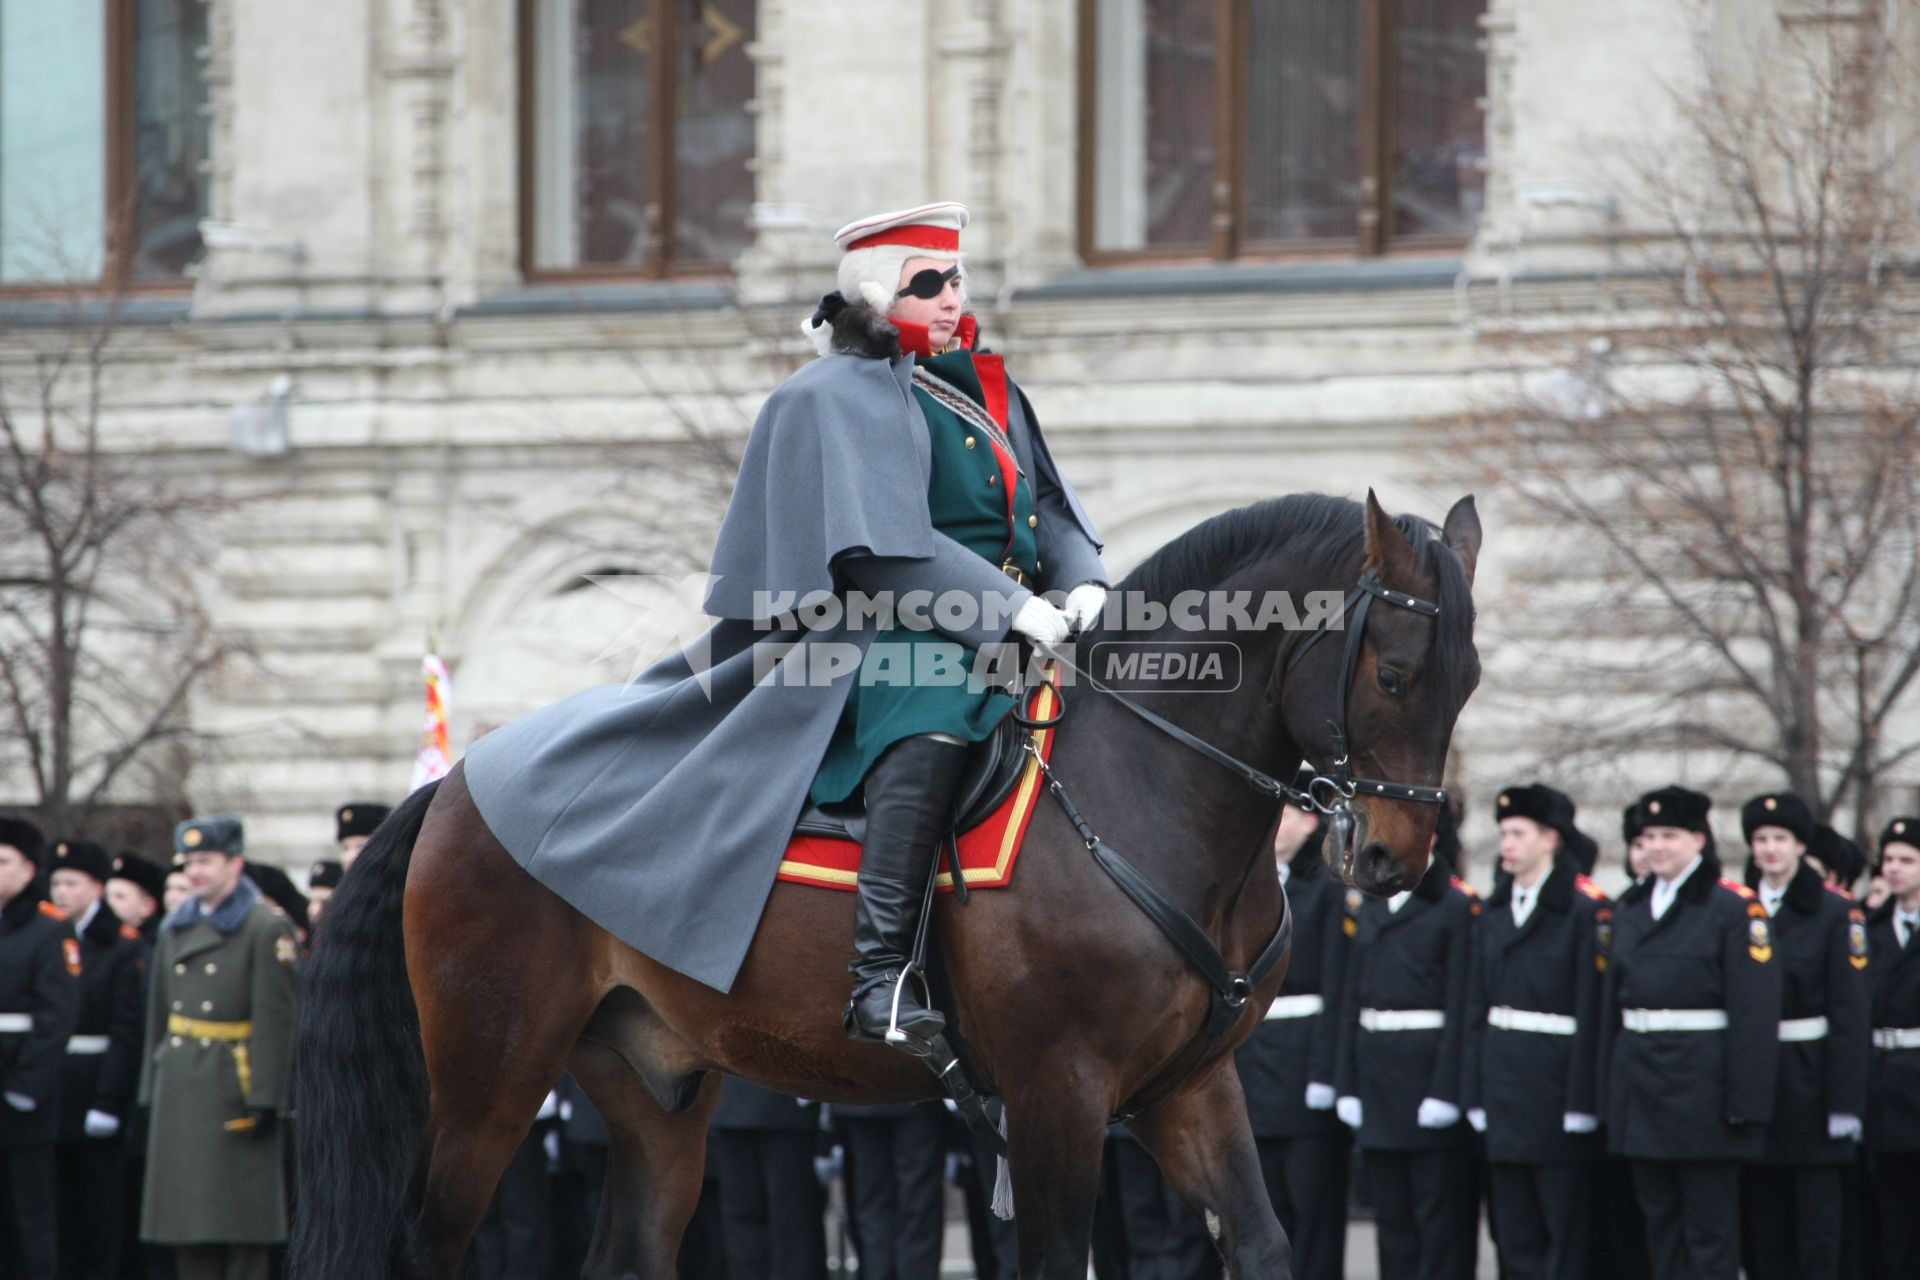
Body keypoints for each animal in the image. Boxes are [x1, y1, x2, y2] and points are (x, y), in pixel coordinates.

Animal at [291, 491, 1482, 1280]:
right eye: (1393, 674)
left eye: (1469, 680)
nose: (1396, 858)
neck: (1153, 787)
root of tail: (458, 786)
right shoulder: (1057, 1094)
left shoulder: (1188, 1087)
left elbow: (1265, 1241)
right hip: (488, 1079)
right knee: (426, 1245)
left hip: (652, 1082)